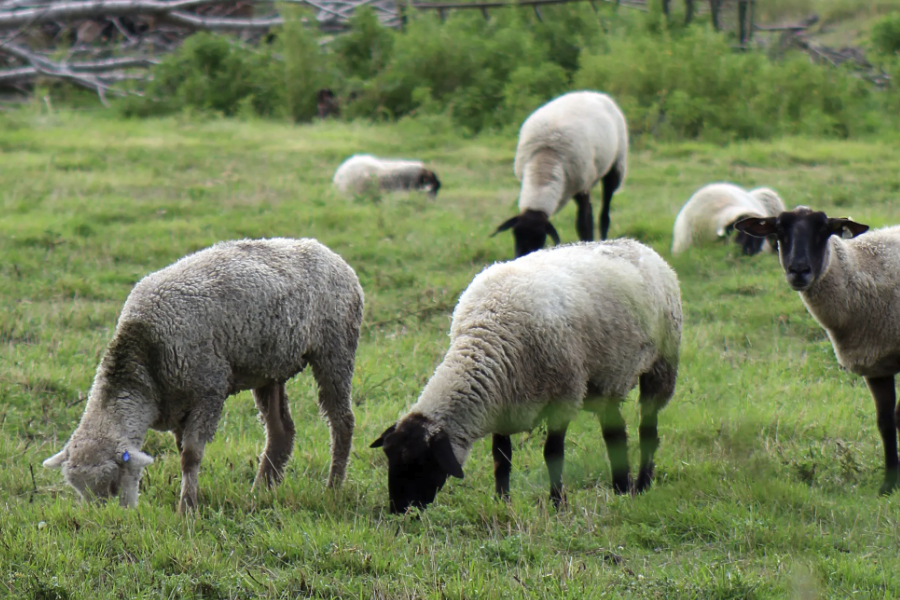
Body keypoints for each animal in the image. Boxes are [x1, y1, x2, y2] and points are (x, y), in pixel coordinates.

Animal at [41, 238, 366, 510]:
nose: (107, 519)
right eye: (79, 490)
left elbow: (191, 455)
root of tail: (329, 252)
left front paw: (187, 508)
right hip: (269, 367)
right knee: (280, 430)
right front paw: (191, 498)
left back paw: (333, 487)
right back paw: (260, 490)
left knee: (341, 421)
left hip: (335, 346)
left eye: (111, 484)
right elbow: (182, 451)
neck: (144, 351)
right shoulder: (176, 405)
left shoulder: (209, 390)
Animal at [370, 239, 680, 510]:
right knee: (614, 432)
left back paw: (642, 485)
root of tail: (639, 245)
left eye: (419, 462)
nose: (398, 510)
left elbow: (552, 454)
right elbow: (501, 458)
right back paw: (620, 489)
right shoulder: (502, 403)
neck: (489, 336)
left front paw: (557, 505)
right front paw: (502, 501)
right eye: (389, 458)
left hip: (662, 363)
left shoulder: (563, 398)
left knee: (647, 430)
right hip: (605, 380)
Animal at [488, 91, 628, 258]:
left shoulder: (581, 186)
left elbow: (584, 224)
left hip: (616, 164)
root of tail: (594, 93)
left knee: (604, 214)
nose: (522, 256)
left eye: (540, 238)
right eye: (515, 234)